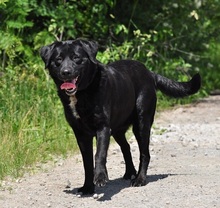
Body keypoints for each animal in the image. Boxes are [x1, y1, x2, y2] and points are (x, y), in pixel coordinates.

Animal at [40, 39, 201, 195]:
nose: (66, 72)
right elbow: (87, 162)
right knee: (126, 147)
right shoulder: (80, 133)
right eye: (58, 59)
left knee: (145, 154)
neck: (82, 93)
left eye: (76, 58)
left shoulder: (103, 128)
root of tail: (149, 73)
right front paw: (87, 187)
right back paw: (130, 172)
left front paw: (100, 177)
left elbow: (99, 154)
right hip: (117, 130)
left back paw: (140, 179)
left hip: (141, 124)